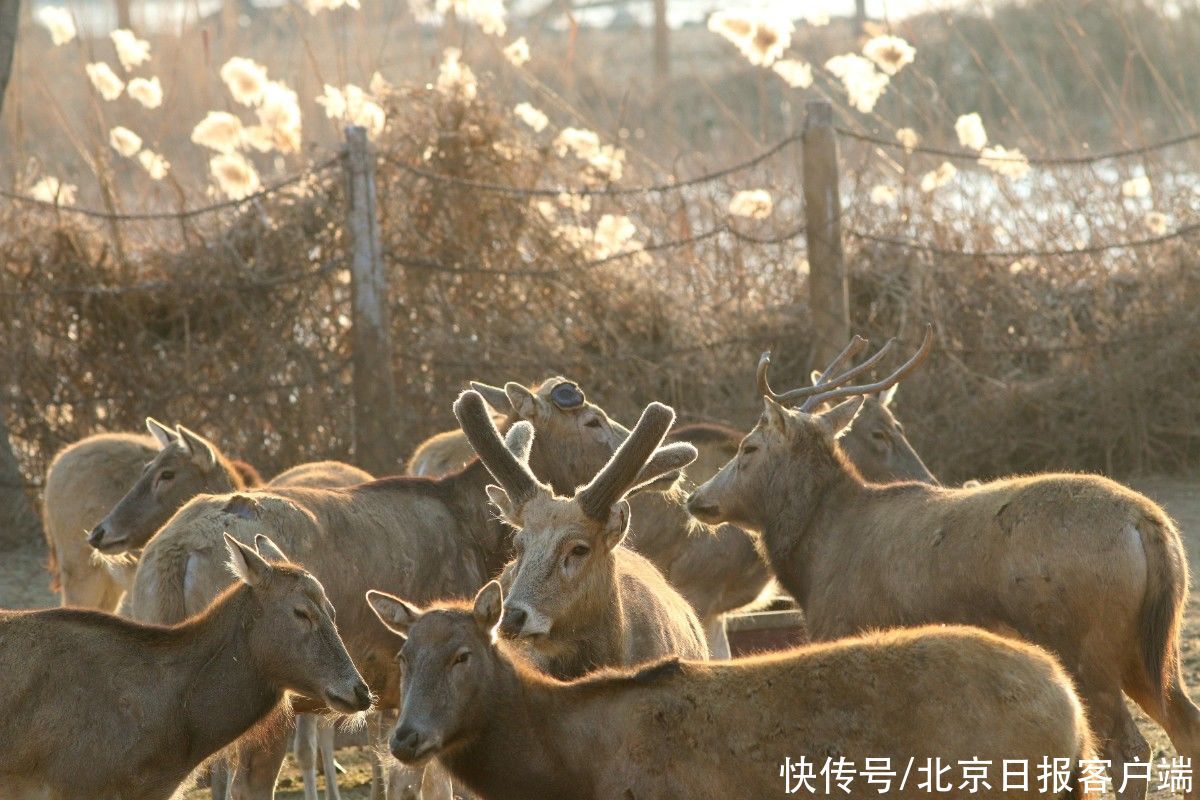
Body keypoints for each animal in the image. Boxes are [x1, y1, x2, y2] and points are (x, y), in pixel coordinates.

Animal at [686, 326, 1200, 800]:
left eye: (748, 447)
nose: (698, 497)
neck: (816, 561)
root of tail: (1149, 525)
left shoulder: (844, 627)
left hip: (1086, 645)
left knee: (1129, 748)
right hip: (1151, 646)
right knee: (1185, 727)